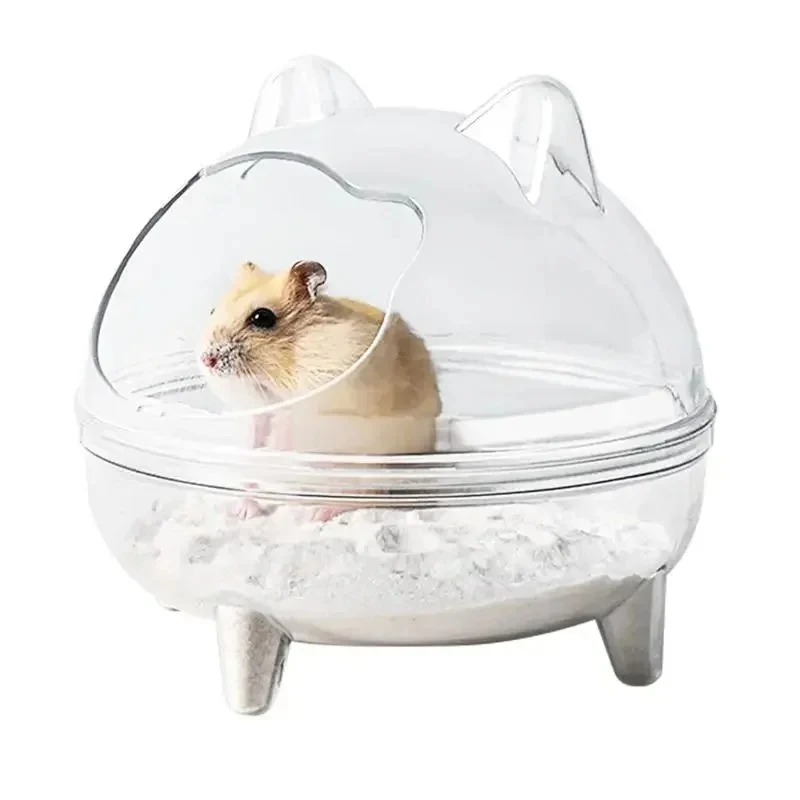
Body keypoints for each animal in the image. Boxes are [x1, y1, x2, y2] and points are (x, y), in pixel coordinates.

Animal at [199, 260, 441, 517]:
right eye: (212, 310)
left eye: (262, 317)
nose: (207, 360)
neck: (272, 381)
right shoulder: (256, 414)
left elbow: (291, 423)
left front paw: (274, 447)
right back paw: (246, 511)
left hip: (372, 463)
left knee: (368, 495)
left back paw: (320, 512)